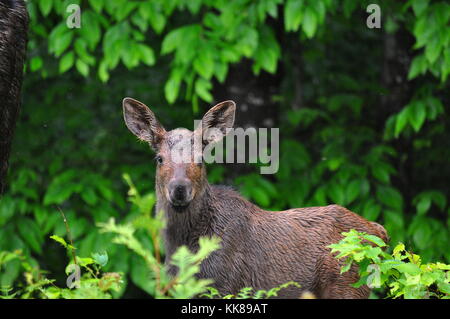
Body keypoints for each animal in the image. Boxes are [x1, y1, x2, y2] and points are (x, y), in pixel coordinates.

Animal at [122, 98, 386, 300]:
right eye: (159, 159)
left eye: (200, 159)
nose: (179, 189)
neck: (181, 247)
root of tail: (379, 231)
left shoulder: (226, 286)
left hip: (347, 286)